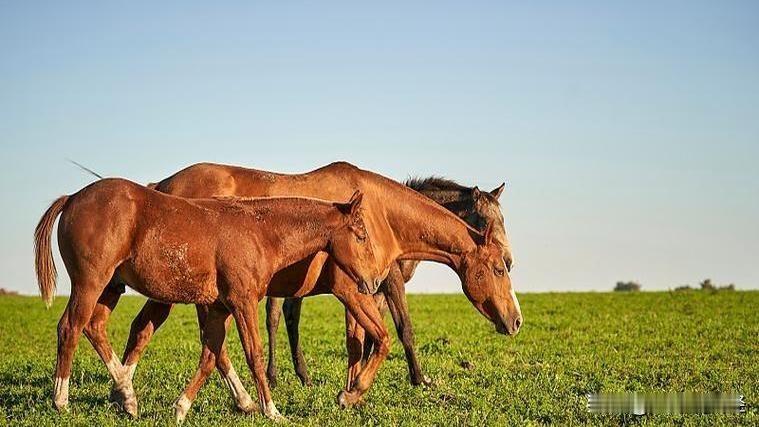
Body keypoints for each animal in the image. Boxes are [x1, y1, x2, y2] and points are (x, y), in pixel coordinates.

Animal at [32, 178, 382, 422]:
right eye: (361, 236)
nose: (373, 281)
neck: (259, 232)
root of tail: (72, 198)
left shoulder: (217, 307)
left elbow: (211, 355)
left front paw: (182, 407)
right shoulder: (242, 302)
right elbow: (252, 354)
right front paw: (271, 410)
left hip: (111, 288)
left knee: (95, 327)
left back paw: (126, 395)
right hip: (90, 283)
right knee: (70, 328)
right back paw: (62, 399)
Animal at [266, 176, 510, 390]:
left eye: (503, 219)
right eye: (486, 221)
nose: (508, 259)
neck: (398, 231)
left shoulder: (377, 290)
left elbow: (369, 333)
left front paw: (362, 373)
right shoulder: (392, 282)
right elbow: (404, 328)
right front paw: (418, 378)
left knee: (290, 315)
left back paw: (302, 376)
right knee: (274, 318)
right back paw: (274, 377)